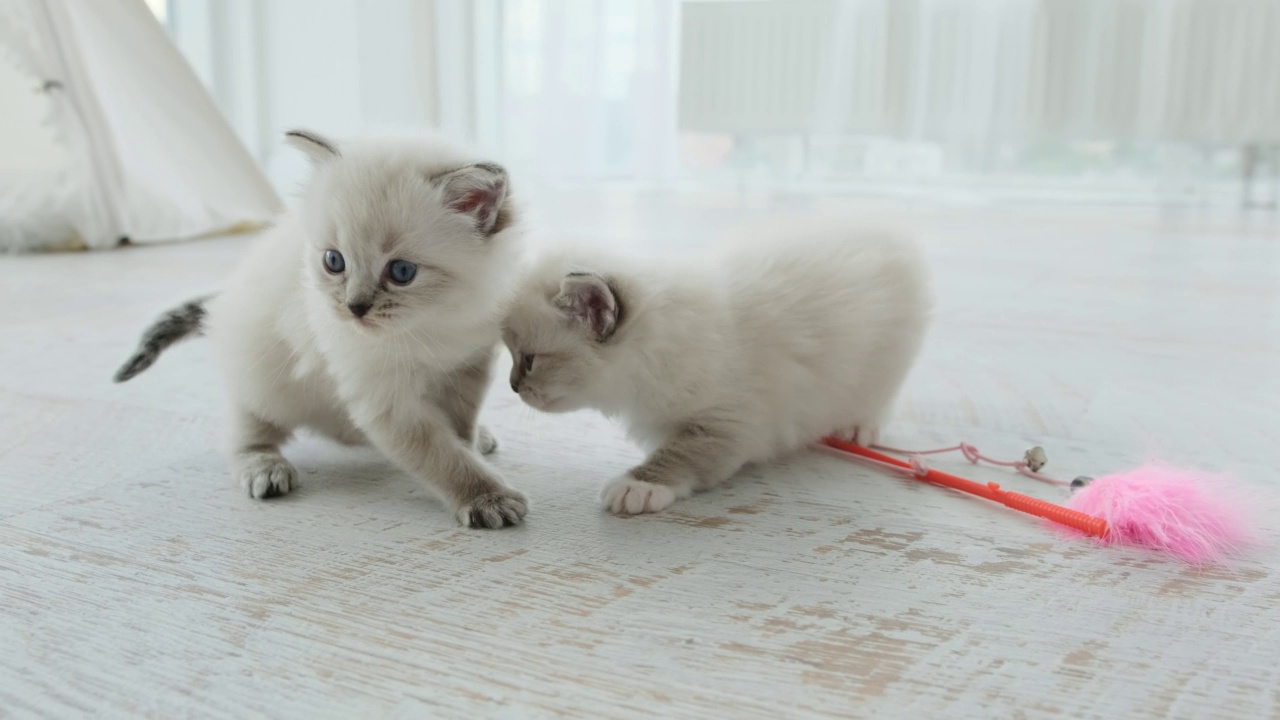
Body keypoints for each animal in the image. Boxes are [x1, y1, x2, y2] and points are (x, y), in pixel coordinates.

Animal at [115, 128, 524, 525]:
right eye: (334, 261)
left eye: (402, 272)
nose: (355, 308)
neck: (431, 322)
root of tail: (223, 301)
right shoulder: (385, 399)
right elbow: (441, 455)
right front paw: (487, 497)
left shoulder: (467, 366)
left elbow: (459, 432)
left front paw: (474, 451)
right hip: (264, 380)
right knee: (246, 428)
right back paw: (264, 467)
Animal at [499, 215, 931, 512]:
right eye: (512, 357)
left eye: (530, 360)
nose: (512, 386)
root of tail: (889, 233)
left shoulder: (727, 423)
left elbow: (679, 454)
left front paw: (638, 486)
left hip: (883, 364)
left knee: (878, 397)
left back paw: (857, 426)